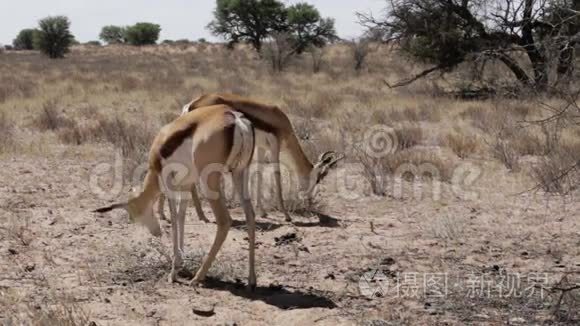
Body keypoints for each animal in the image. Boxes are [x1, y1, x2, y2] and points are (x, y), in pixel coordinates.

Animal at [93, 104, 258, 288]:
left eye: (132, 216)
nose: (156, 233)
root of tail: (234, 118)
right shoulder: (186, 185)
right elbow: (181, 216)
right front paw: (181, 263)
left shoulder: (168, 182)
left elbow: (172, 216)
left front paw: (174, 270)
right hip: (240, 172)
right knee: (250, 215)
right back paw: (251, 280)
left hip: (210, 181)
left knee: (224, 221)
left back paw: (197, 278)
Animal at [157, 93, 344, 223]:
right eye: (320, 177)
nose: (310, 199)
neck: (279, 119)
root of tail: (191, 104)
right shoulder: (275, 145)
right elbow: (276, 174)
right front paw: (286, 215)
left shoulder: (261, 147)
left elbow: (260, 173)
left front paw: (263, 211)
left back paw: (188, 215)